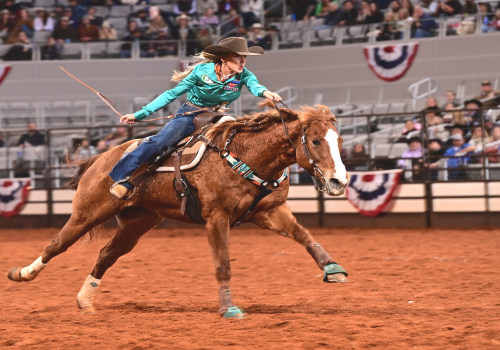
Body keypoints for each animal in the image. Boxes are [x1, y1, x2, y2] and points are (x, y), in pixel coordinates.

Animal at [8, 102, 352, 318]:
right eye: (317, 141)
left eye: (339, 140)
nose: (340, 181)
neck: (247, 155)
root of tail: (101, 158)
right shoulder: (217, 217)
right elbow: (222, 265)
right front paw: (229, 309)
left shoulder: (270, 211)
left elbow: (304, 236)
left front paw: (333, 268)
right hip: (86, 213)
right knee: (57, 244)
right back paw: (22, 273)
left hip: (136, 224)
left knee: (106, 254)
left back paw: (84, 302)